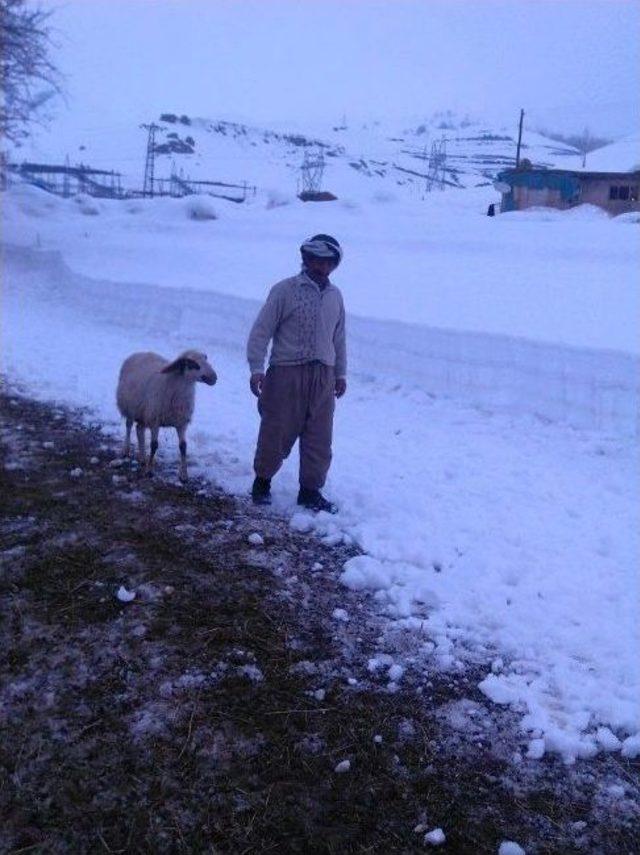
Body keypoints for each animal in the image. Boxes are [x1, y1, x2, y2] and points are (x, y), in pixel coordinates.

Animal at [114, 350, 215, 482]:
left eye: (205, 359)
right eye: (192, 364)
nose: (214, 377)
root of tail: (139, 353)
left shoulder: (181, 423)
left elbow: (183, 447)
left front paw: (184, 475)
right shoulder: (155, 421)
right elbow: (154, 445)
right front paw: (149, 470)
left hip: (143, 412)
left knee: (139, 430)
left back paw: (142, 457)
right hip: (130, 408)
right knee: (129, 426)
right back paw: (126, 450)